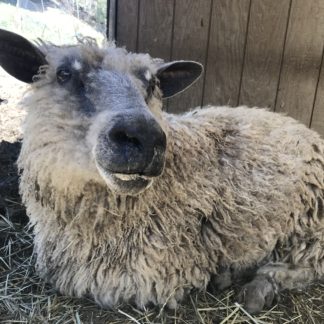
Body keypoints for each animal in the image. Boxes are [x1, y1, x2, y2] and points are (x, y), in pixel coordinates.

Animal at [0, 28, 324, 314]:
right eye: (64, 74)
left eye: (152, 84)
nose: (143, 136)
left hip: (310, 227)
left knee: (307, 265)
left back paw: (257, 287)